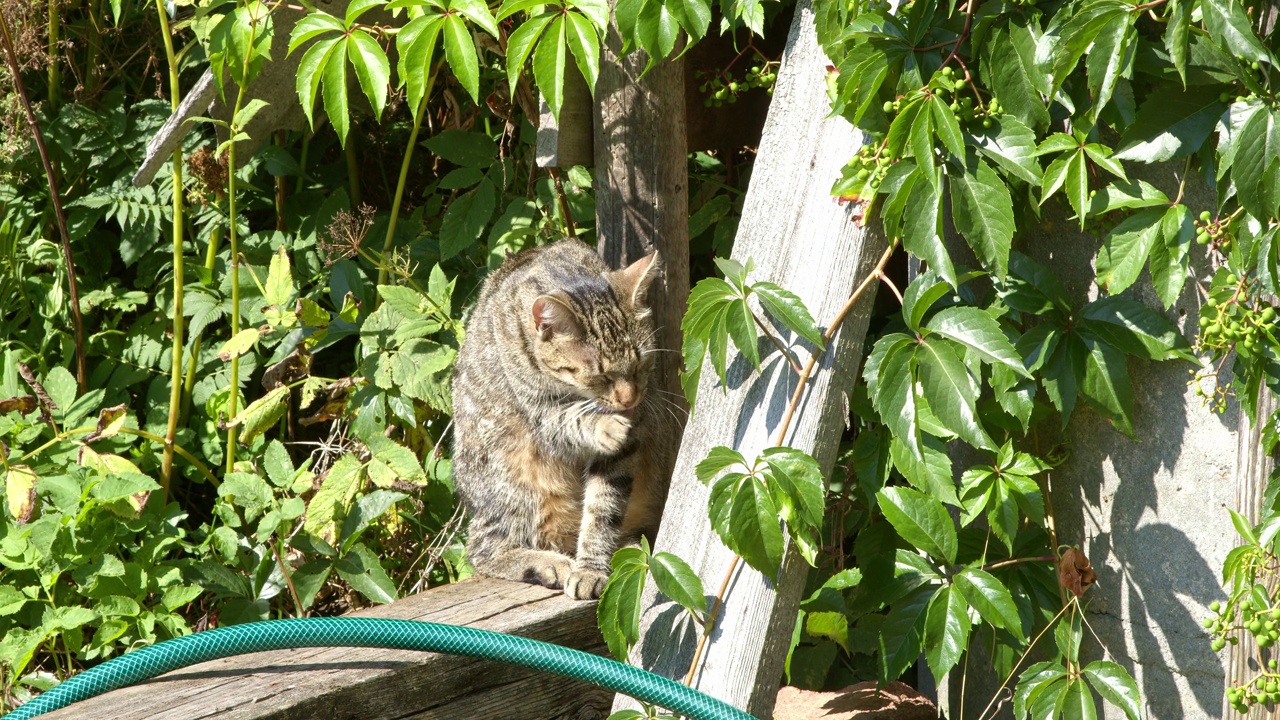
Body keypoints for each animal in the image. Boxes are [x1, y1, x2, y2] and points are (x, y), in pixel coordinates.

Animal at [453, 238, 670, 597]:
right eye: (600, 376)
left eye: (640, 366)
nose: (628, 400)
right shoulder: (542, 413)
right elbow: (569, 421)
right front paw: (604, 424)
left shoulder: (624, 451)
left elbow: (602, 509)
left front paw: (592, 567)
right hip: (511, 478)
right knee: (482, 549)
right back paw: (546, 563)